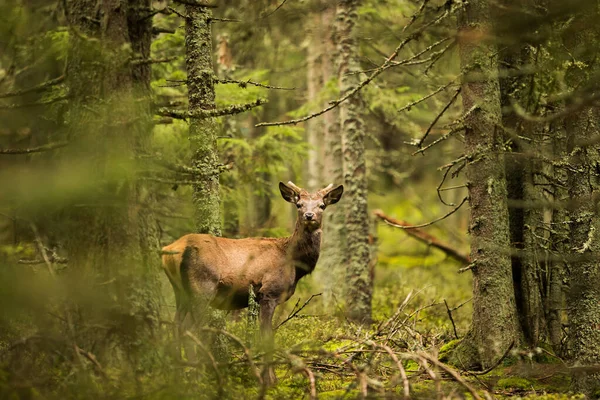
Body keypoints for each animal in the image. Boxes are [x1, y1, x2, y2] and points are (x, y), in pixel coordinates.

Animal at [162, 181, 344, 384]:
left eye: (322, 205)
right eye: (299, 205)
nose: (309, 215)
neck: (294, 262)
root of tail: (171, 250)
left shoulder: (257, 298)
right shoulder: (269, 292)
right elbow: (267, 336)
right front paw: (269, 379)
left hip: (180, 291)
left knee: (177, 327)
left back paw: (180, 375)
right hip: (202, 288)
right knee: (192, 330)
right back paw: (197, 376)